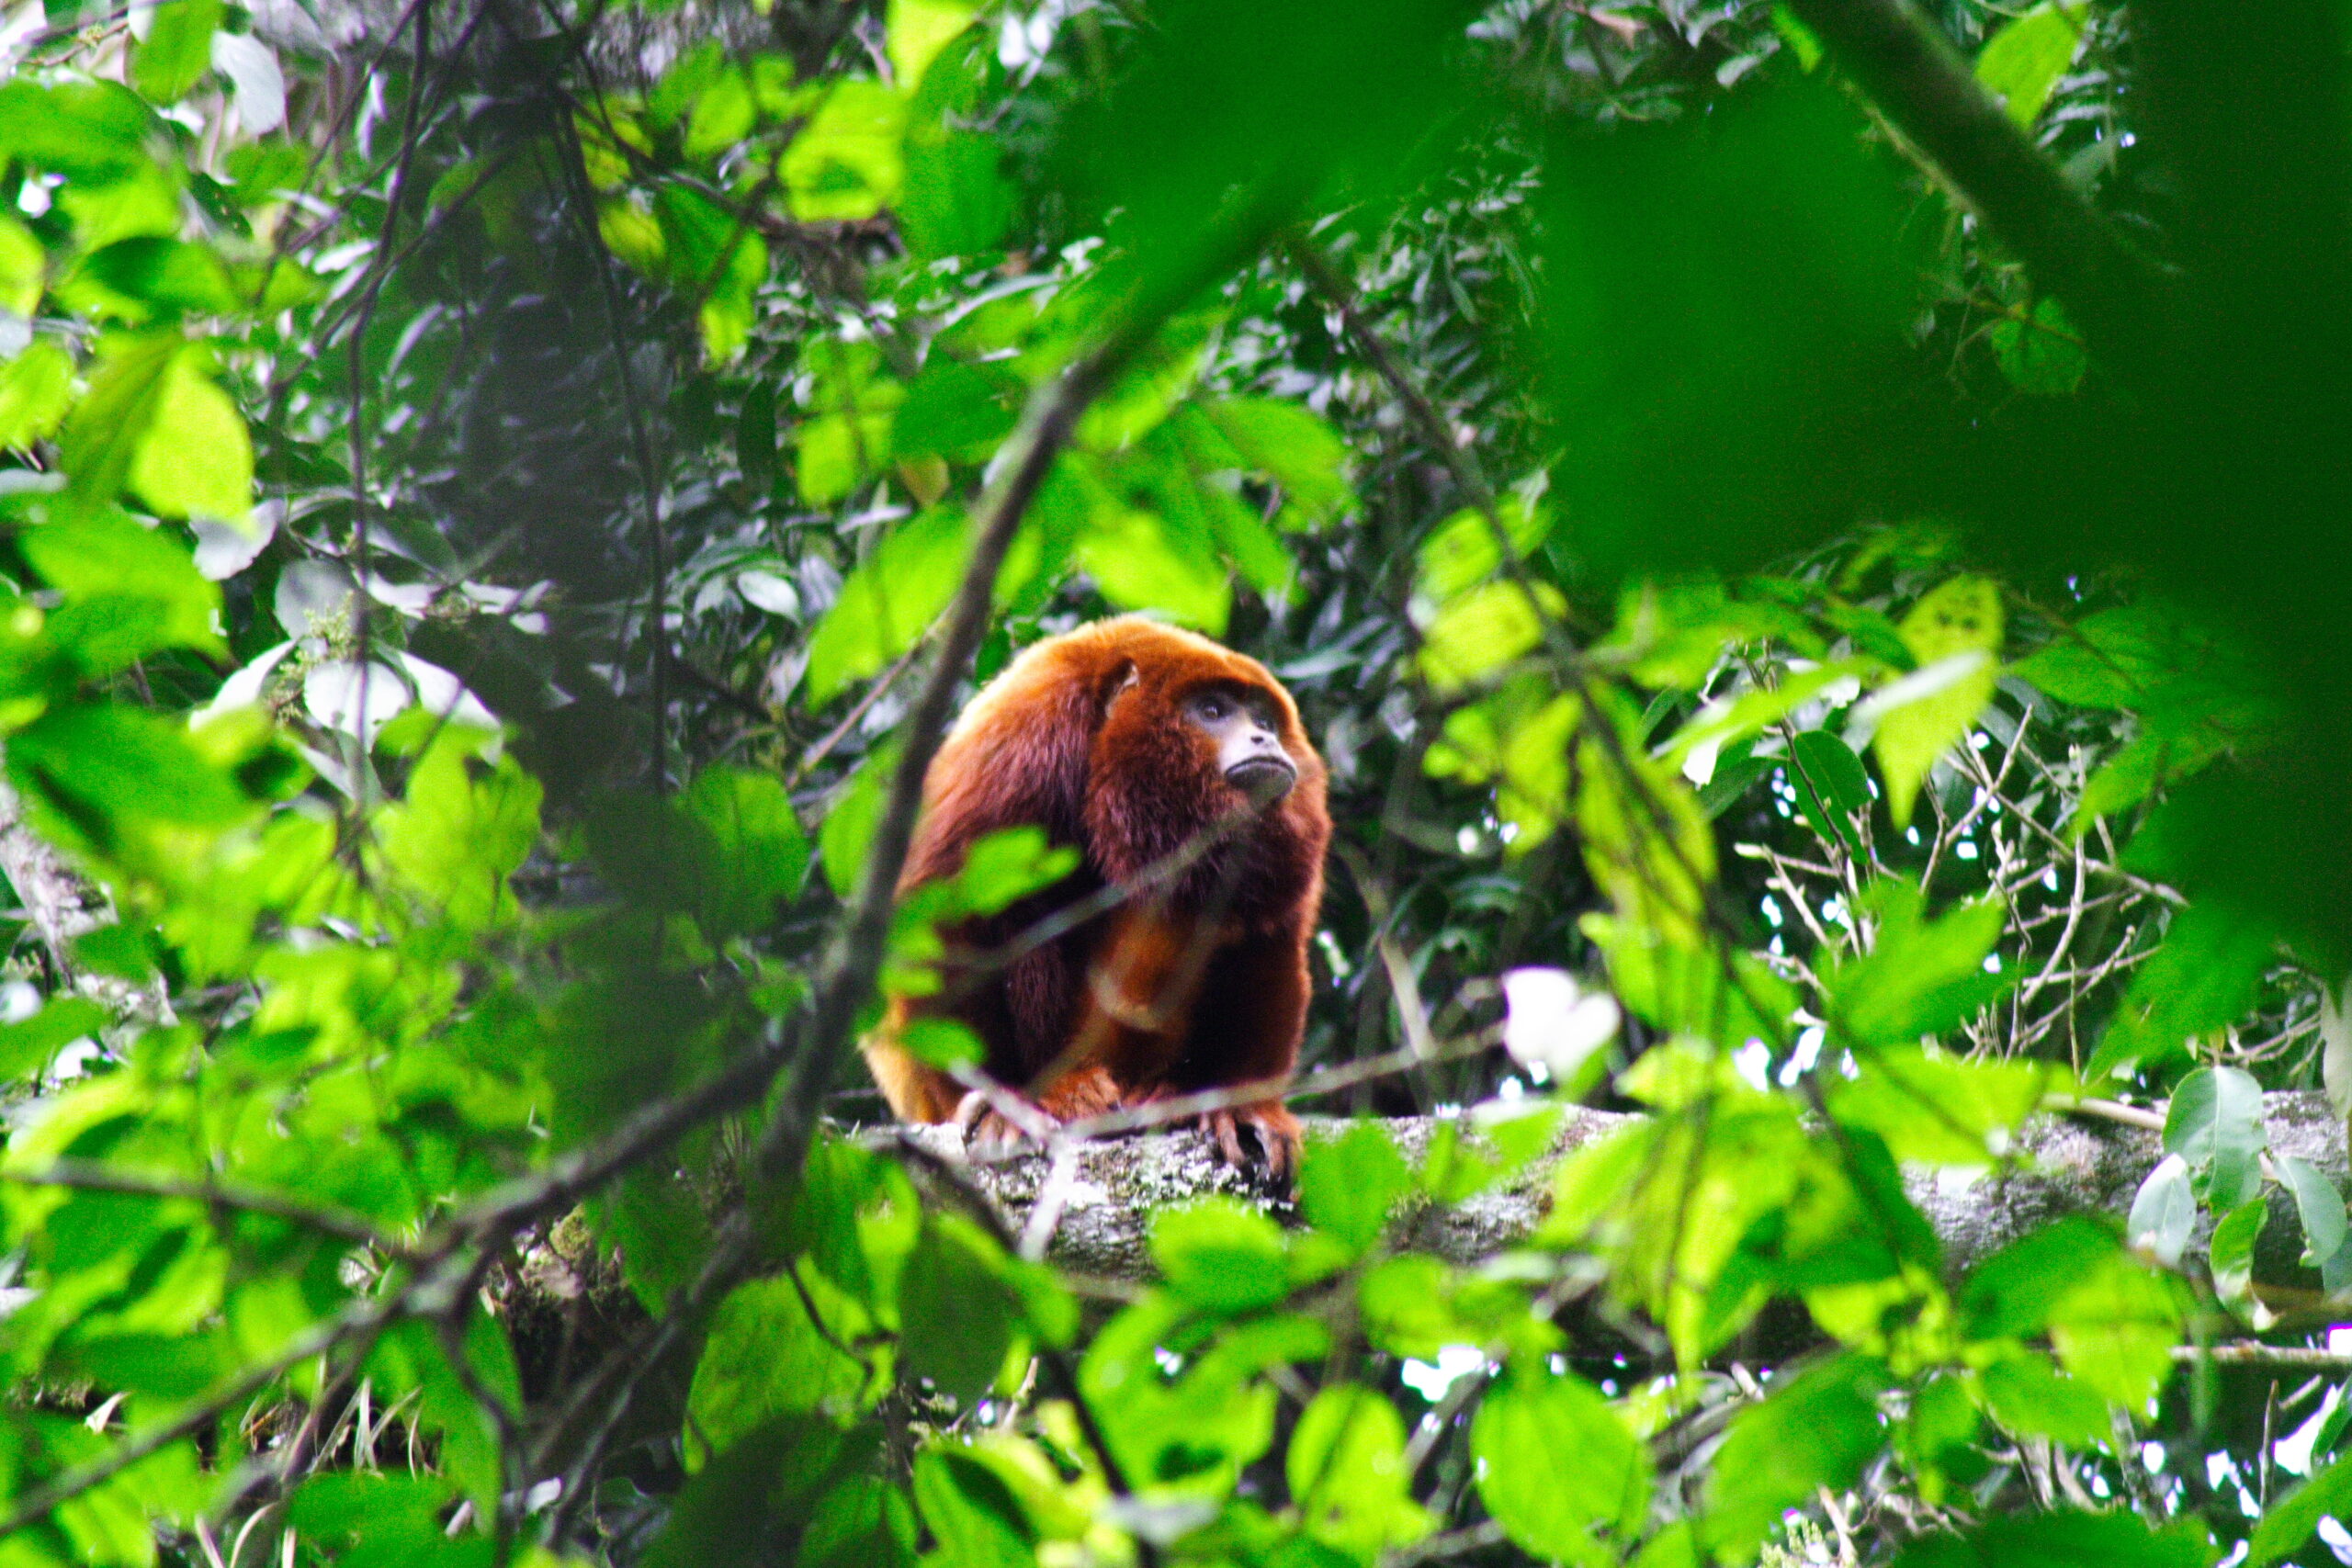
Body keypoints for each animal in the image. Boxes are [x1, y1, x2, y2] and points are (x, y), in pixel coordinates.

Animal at [870, 611, 1345, 1175]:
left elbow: (1268, 935)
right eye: (1212, 710)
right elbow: (950, 918)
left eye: (1266, 722)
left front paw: (1243, 1107)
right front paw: (1013, 1103)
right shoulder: (1024, 736)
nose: (1263, 740)